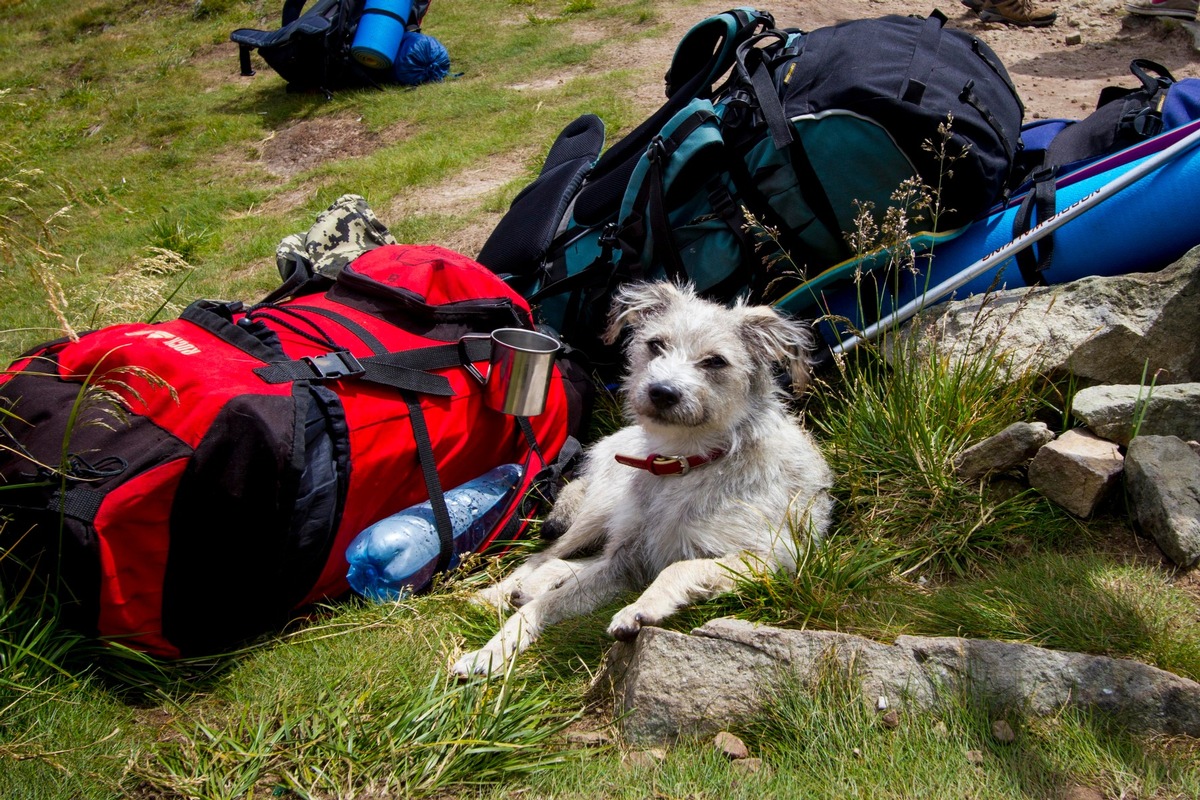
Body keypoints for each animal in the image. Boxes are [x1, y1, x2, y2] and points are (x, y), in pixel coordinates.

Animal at [451, 281, 835, 676]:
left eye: (716, 361)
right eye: (655, 345)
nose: (662, 391)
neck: (683, 461)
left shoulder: (775, 561)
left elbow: (680, 567)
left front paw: (640, 607)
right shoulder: (625, 560)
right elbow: (542, 605)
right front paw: (492, 650)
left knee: (568, 563)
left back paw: (534, 585)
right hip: (597, 514)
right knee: (546, 556)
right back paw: (498, 592)